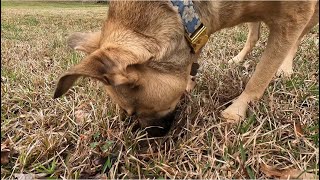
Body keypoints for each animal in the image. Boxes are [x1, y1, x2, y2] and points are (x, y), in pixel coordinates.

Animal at [53, 1, 318, 136]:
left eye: (135, 111)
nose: (147, 138)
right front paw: (190, 83)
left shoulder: (295, 16)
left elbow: (261, 76)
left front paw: (237, 110)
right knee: (254, 33)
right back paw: (239, 59)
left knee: (295, 41)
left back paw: (285, 68)